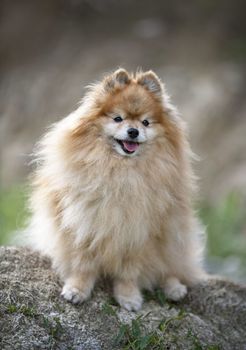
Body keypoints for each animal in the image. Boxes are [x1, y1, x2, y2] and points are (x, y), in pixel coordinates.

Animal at [28, 69, 206, 312]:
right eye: (118, 118)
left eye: (146, 122)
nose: (133, 131)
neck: (121, 172)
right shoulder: (83, 224)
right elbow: (83, 264)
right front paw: (77, 289)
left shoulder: (138, 233)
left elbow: (129, 272)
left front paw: (128, 297)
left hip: (174, 238)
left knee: (171, 268)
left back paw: (173, 287)